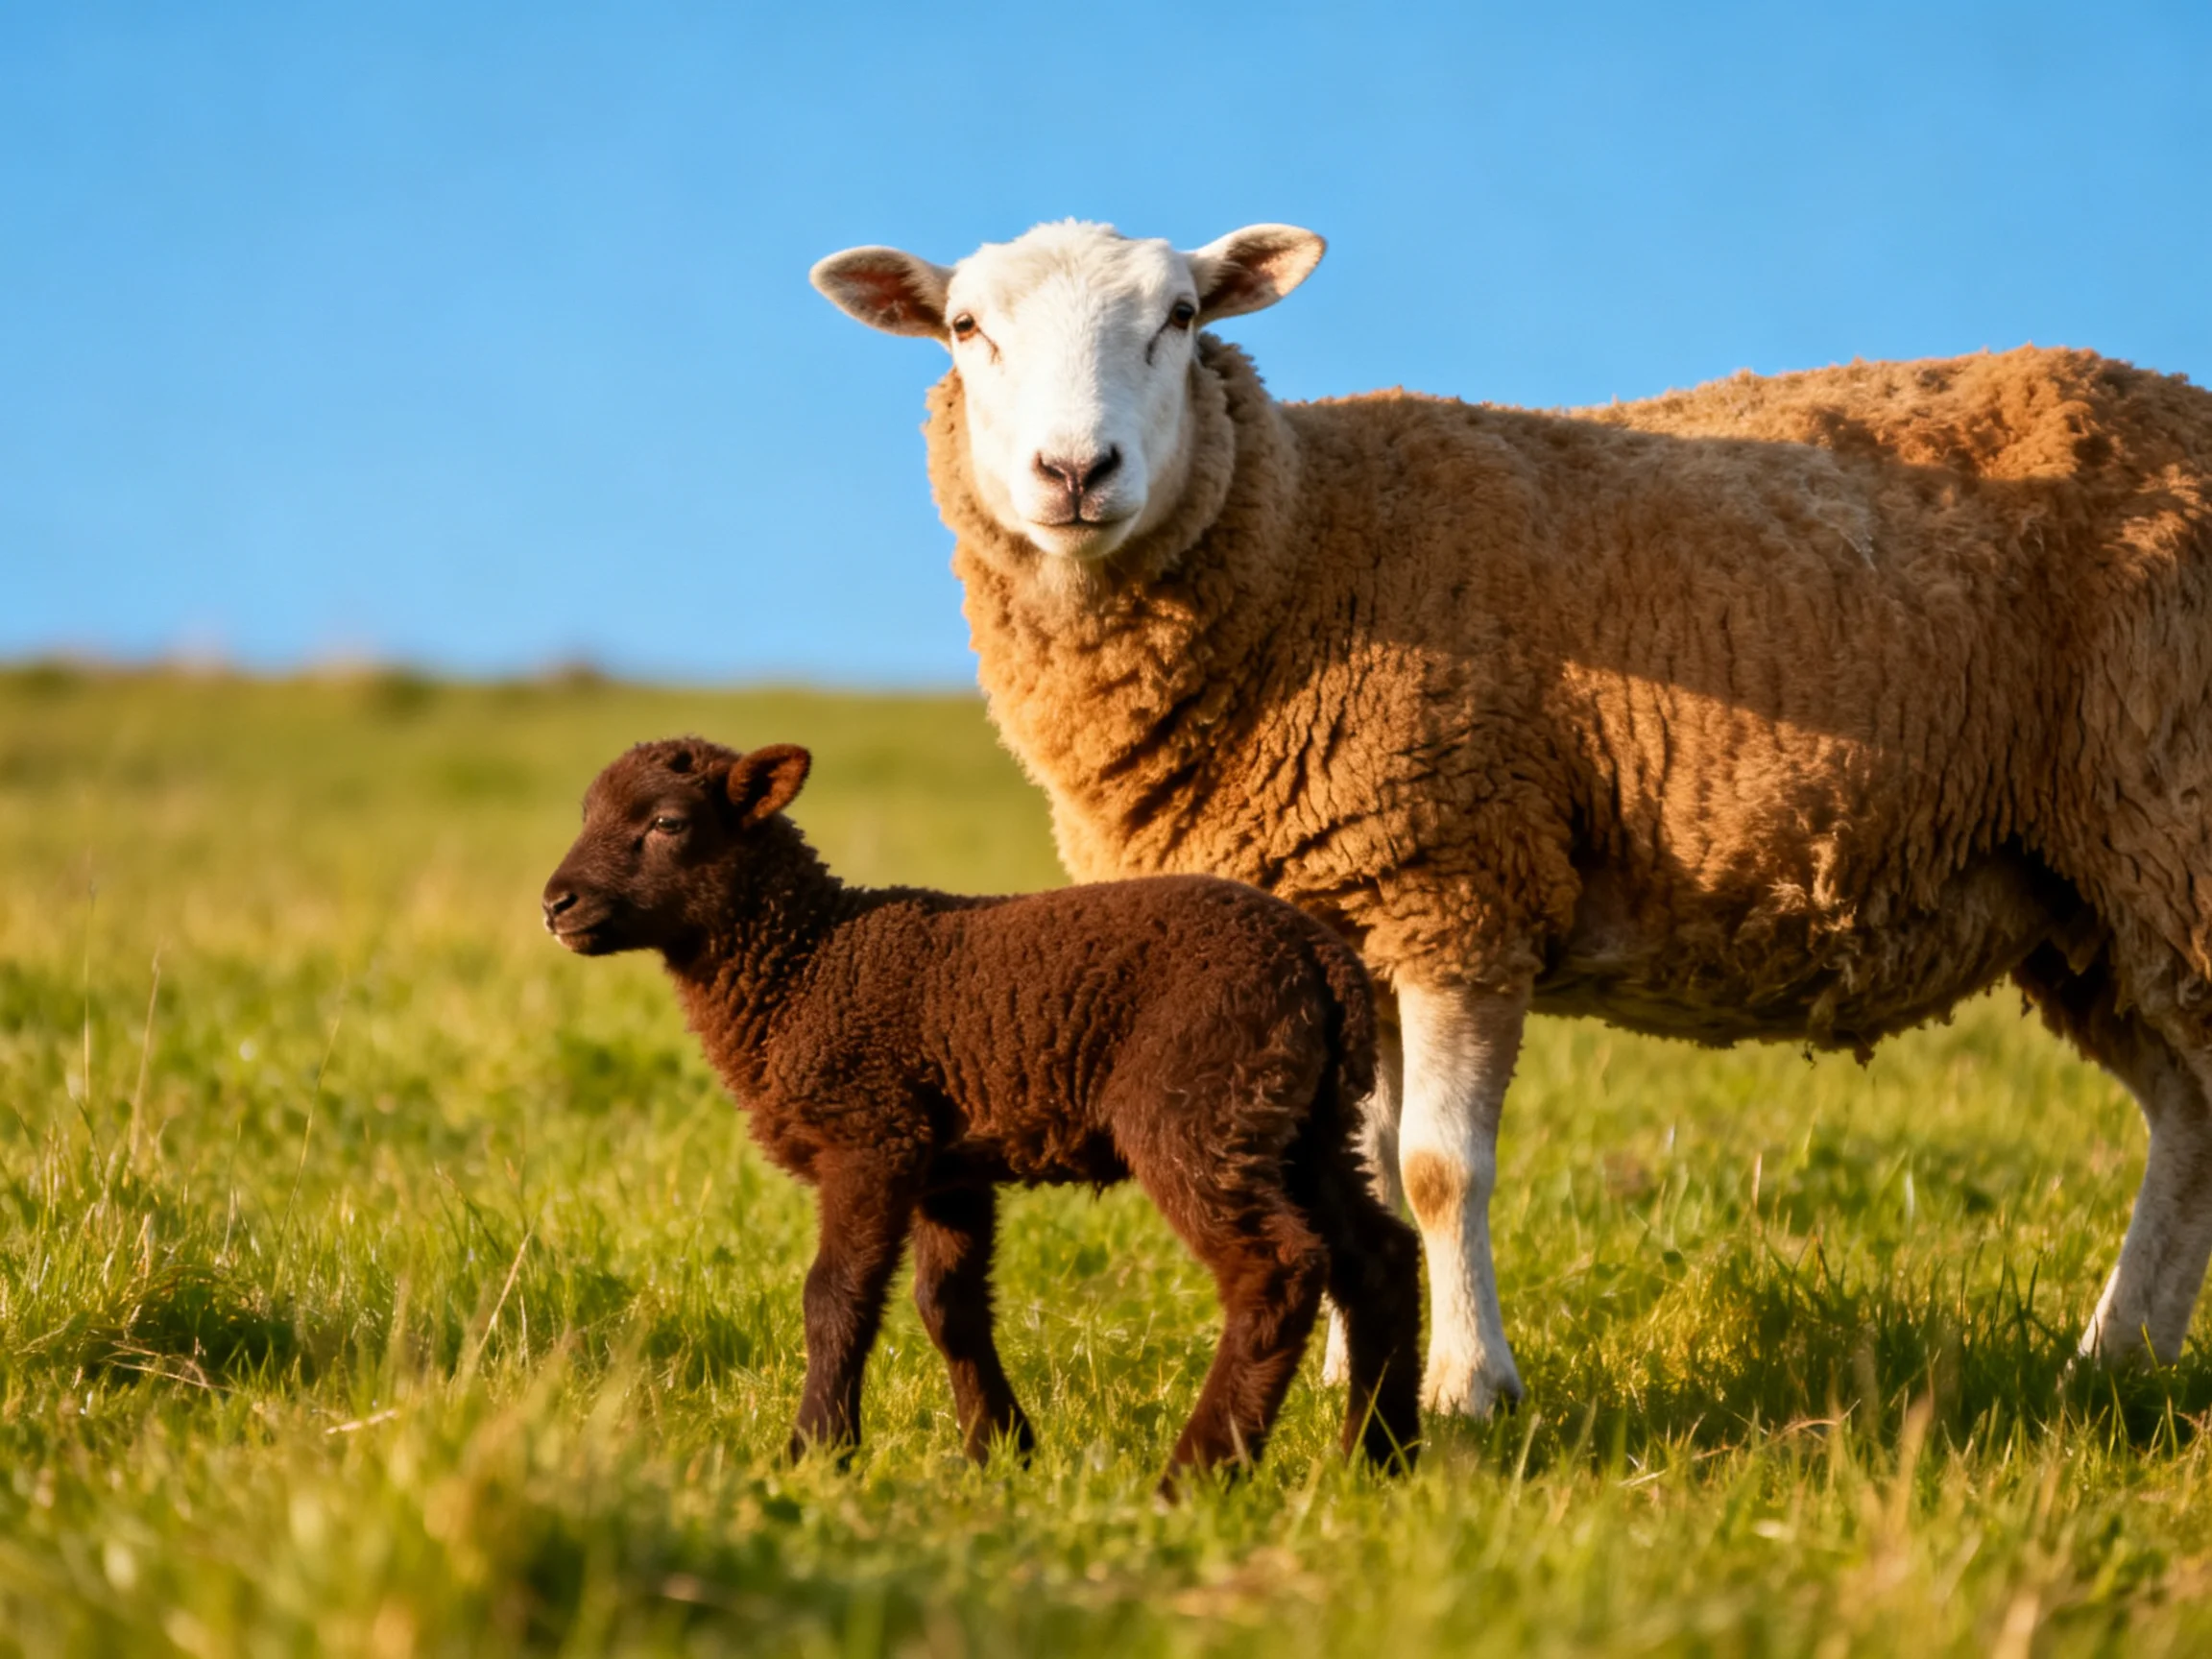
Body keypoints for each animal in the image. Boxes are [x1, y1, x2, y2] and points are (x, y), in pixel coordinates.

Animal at [540, 736, 1423, 1490]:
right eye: (584, 813)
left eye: (667, 822)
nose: (556, 903)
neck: (806, 963)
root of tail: (1321, 960)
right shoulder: (946, 1165)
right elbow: (948, 1308)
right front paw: (999, 1452)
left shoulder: (871, 1132)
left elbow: (836, 1297)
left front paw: (817, 1451)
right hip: (1301, 1120)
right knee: (1379, 1256)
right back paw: (1381, 1460)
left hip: (1199, 1106)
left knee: (1276, 1270)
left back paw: (1199, 1474)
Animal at [811, 217, 2212, 1419]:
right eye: (965, 327)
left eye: (1182, 316)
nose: (1073, 471)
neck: (1310, 543)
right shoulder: (1339, 929)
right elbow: (1359, 1171)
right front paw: (1351, 1373)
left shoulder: (1457, 888)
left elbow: (1437, 1170)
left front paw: (1466, 1390)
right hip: (2082, 900)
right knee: (2188, 1115)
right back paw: (2117, 1363)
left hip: (2166, 822)